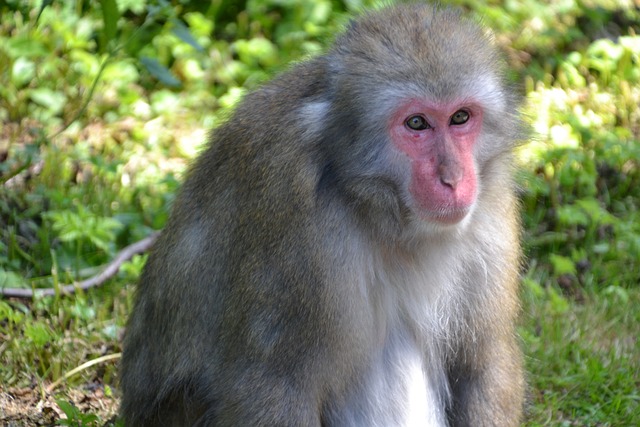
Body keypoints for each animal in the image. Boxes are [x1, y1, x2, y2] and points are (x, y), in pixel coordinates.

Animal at [120, 4, 525, 426]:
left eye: (460, 117)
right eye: (417, 123)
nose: (453, 178)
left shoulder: (492, 210)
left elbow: (481, 362)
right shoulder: (296, 226)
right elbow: (273, 383)